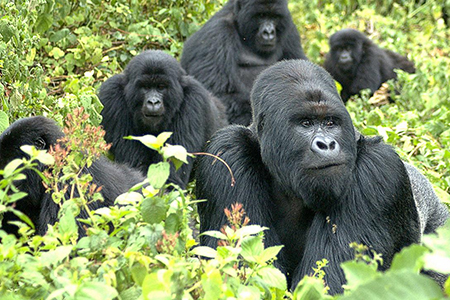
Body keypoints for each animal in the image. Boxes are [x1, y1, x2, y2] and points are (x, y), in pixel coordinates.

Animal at [98, 50, 225, 189]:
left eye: (161, 87)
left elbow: (171, 178)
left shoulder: (194, 100)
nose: (153, 102)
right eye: (145, 87)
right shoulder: (111, 95)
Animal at [195, 59, 448, 294]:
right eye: (306, 123)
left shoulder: (378, 170)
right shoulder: (225, 152)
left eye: (330, 122)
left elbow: (328, 284)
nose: (326, 144)